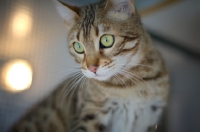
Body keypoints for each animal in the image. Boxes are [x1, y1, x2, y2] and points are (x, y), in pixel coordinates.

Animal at [9, 0, 169, 132]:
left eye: (106, 40)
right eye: (78, 47)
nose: (92, 68)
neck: (132, 86)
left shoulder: (149, 118)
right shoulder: (89, 116)